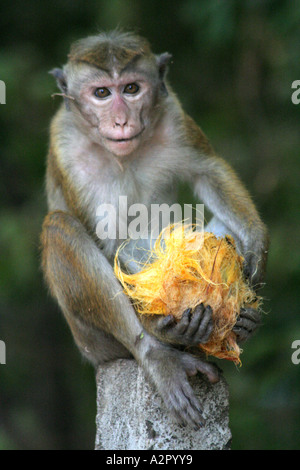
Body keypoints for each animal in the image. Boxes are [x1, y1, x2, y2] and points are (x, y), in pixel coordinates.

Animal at [41, 31, 268, 430]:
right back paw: (158, 346)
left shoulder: (173, 116)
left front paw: (257, 242)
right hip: (93, 343)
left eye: (131, 89)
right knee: (59, 227)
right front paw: (165, 329)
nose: (121, 121)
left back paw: (243, 323)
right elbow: (110, 242)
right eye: (102, 93)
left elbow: (208, 169)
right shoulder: (66, 148)